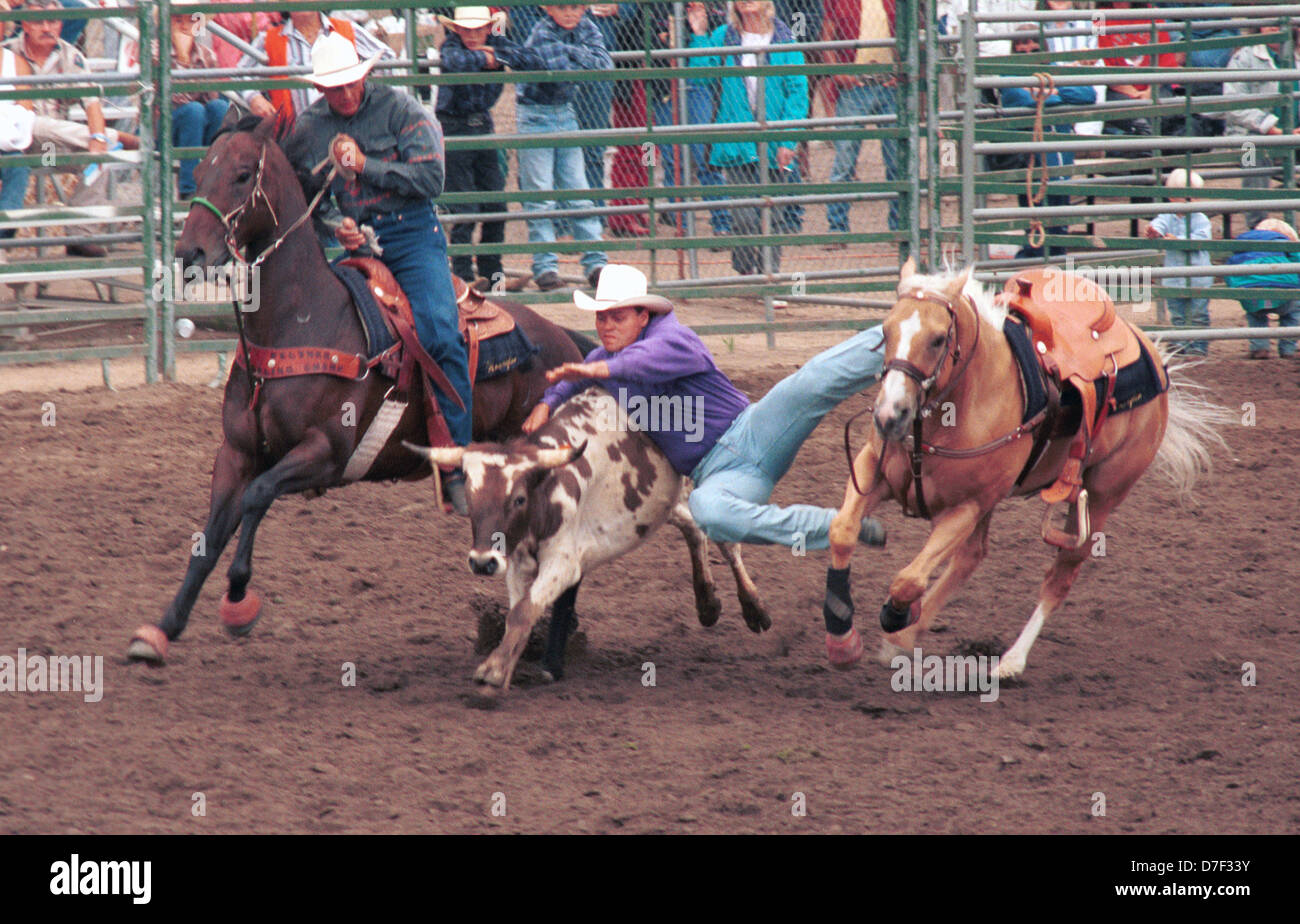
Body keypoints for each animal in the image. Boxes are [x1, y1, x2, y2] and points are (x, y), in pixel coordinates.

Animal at [126, 114, 593, 664]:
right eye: (198, 173)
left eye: (242, 175)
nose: (189, 253)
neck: (300, 322)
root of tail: (564, 339)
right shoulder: (237, 453)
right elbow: (209, 539)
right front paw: (162, 629)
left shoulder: (326, 454)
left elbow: (256, 499)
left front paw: (239, 601)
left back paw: (551, 652)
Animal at [824, 259, 1227, 679]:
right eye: (886, 331)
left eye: (937, 339)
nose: (889, 415)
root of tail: (1153, 355)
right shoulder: (874, 468)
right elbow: (843, 532)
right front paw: (842, 636)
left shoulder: (967, 506)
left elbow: (908, 579)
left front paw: (895, 615)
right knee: (971, 558)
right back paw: (908, 638)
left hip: (1102, 497)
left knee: (1059, 577)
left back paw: (1009, 661)